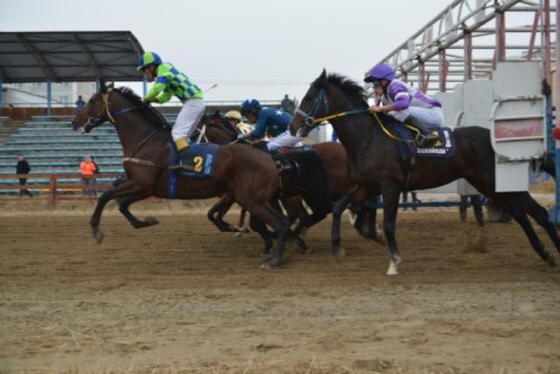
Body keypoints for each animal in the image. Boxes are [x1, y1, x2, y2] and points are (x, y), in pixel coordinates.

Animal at [71, 81, 294, 268]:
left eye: (91, 100)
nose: (75, 121)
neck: (145, 140)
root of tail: (268, 157)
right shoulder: (146, 188)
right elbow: (121, 204)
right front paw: (146, 221)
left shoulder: (142, 184)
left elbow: (105, 197)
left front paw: (96, 230)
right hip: (254, 198)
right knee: (282, 221)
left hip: (250, 198)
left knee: (280, 223)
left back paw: (274, 258)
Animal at [288, 69, 560, 274]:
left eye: (309, 97)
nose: (292, 126)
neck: (367, 138)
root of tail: (492, 138)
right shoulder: (367, 186)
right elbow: (337, 207)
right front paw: (337, 249)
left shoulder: (390, 186)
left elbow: (388, 224)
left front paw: (394, 262)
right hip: (488, 184)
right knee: (521, 214)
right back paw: (545, 253)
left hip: (493, 181)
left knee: (537, 212)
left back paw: (551, 251)